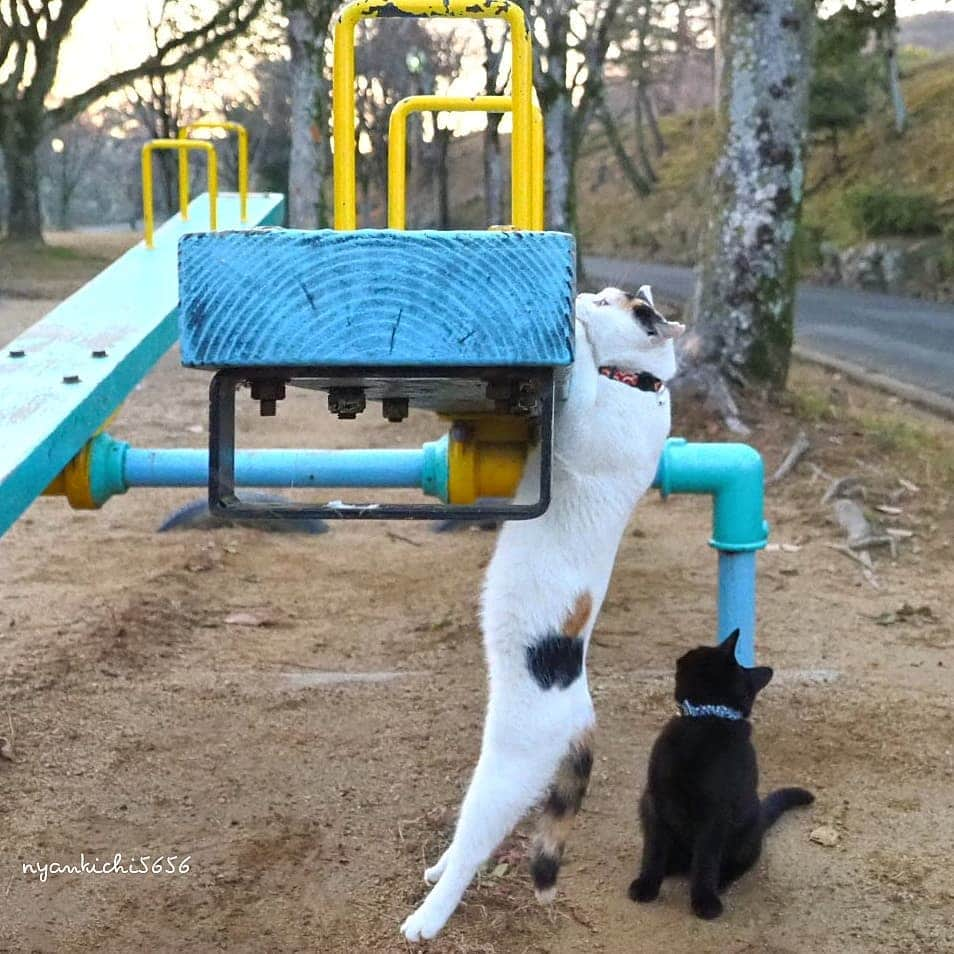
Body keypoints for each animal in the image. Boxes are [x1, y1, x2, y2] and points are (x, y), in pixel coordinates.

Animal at [400, 286, 684, 940]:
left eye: (607, 301)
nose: (586, 293)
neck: (641, 384)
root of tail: (582, 708)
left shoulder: (584, 423)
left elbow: (581, 380)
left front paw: (577, 334)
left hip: (507, 771)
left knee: (478, 843)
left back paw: (426, 918)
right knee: (467, 838)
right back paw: (436, 869)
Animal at [628, 628, 816, 920]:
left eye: (695, 651)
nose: (681, 656)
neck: (706, 719)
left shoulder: (715, 815)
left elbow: (706, 861)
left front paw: (705, 901)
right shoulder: (657, 803)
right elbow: (654, 850)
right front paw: (646, 885)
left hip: (744, 834)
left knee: (732, 865)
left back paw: (721, 882)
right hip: (645, 807)